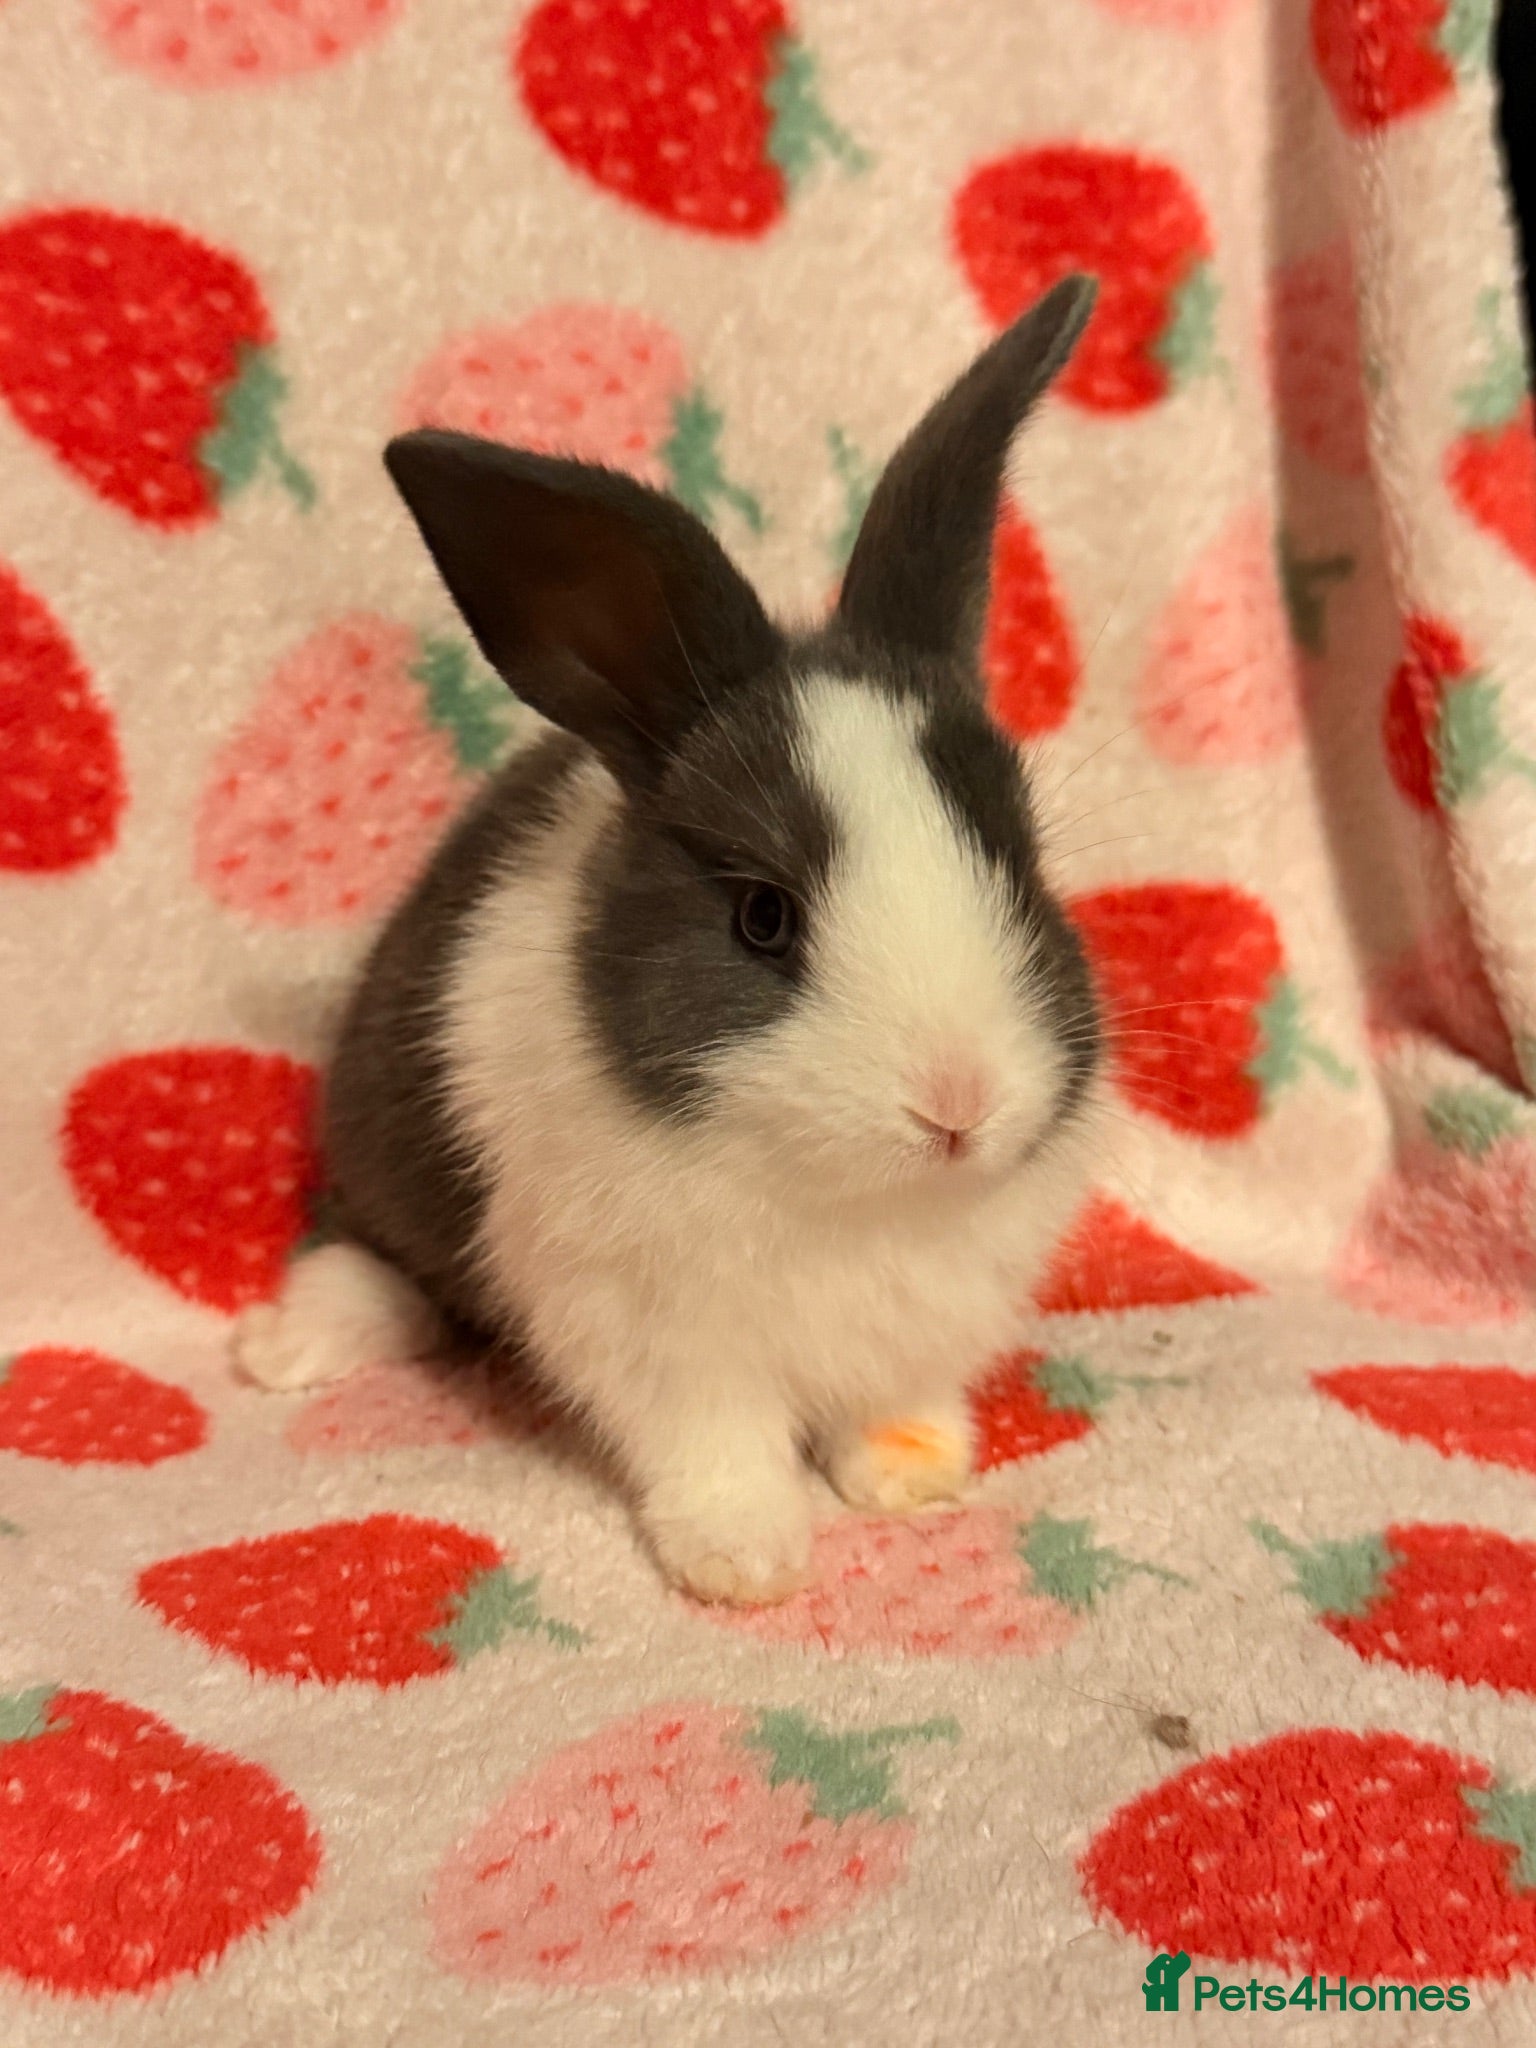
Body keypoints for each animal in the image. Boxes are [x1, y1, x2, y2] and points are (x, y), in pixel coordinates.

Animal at [237, 276, 1103, 1606]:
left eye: (1019, 862)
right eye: (762, 915)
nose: (958, 1106)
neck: (851, 1196)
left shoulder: (924, 1320)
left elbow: (897, 1402)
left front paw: (912, 1478)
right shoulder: (657, 1335)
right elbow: (717, 1441)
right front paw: (743, 1559)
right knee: (376, 1255)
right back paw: (287, 1347)